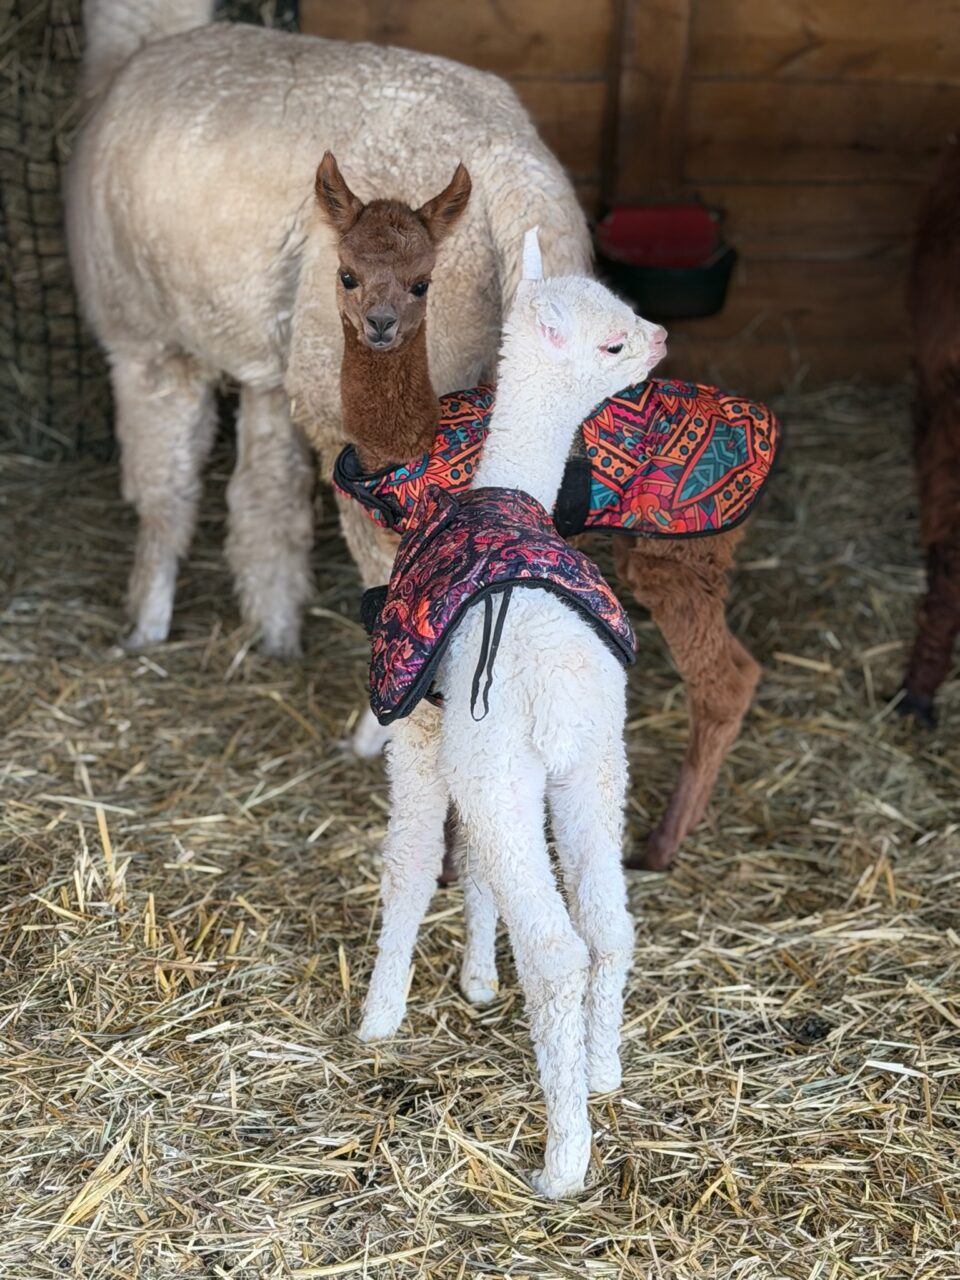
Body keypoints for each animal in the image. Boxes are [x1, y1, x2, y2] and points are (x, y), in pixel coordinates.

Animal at [66, 0, 592, 658]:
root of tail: (513, 168)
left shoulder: (148, 340)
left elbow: (164, 492)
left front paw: (143, 627)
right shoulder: (264, 361)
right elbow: (266, 499)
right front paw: (275, 632)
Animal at [357, 229, 667, 1198]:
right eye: (613, 336)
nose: (662, 335)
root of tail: (560, 688)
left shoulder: (422, 730)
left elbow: (413, 865)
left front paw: (378, 1015)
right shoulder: (477, 745)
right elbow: (474, 870)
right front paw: (475, 980)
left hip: (509, 764)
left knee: (560, 950)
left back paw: (563, 1158)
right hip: (592, 769)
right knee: (609, 926)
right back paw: (603, 1072)